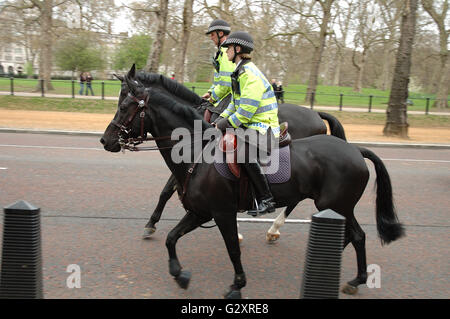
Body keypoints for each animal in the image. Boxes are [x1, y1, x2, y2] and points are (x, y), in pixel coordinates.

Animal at [112, 70, 348, 240]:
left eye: (124, 99)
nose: (110, 139)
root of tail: (316, 114)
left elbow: (166, 191)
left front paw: (151, 223)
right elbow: (166, 192)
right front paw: (151, 224)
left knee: (294, 199)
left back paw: (274, 228)